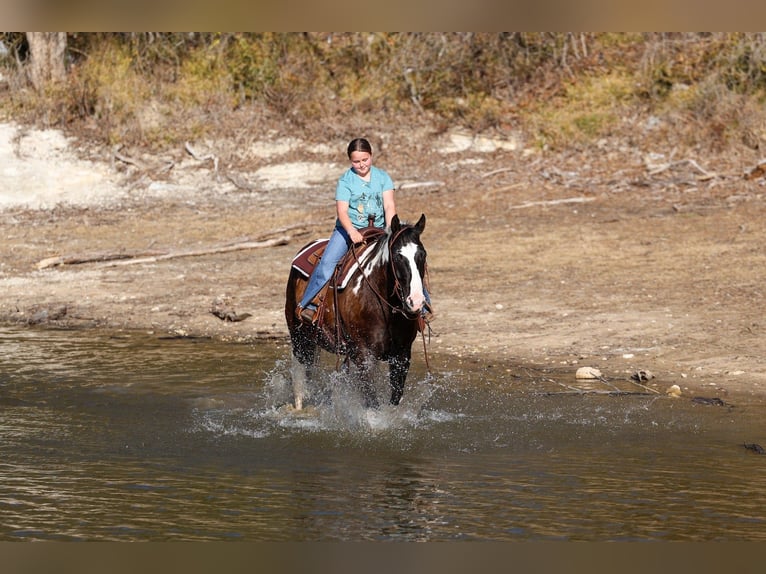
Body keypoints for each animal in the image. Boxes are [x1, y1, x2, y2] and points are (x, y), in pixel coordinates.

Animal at [284, 213, 429, 410]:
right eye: (398, 256)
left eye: (422, 254)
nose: (416, 301)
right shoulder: (364, 356)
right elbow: (372, 403)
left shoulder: (401, 356)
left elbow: (394, 399)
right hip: (299, 338)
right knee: (300, 380)